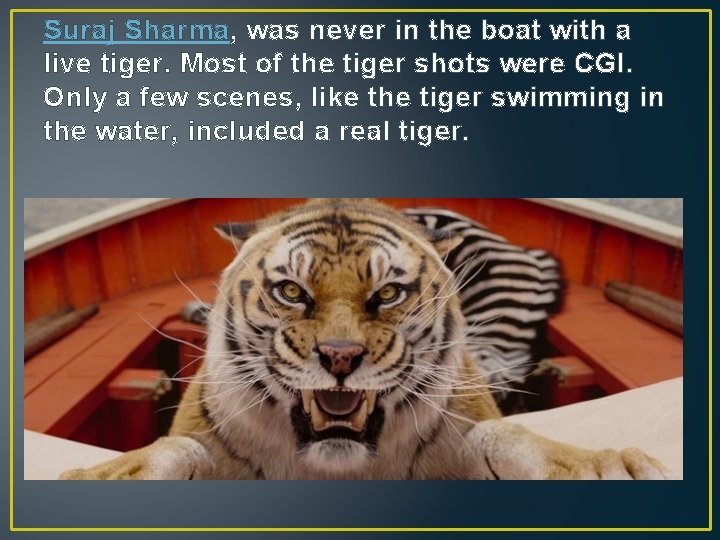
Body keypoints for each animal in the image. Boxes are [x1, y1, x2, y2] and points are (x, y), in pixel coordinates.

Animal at [60, 199, 669, 480]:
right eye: (291, 291)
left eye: (389, 293)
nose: (340, 356)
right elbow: (175, 448)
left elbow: (502, 434)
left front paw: (602, 468)